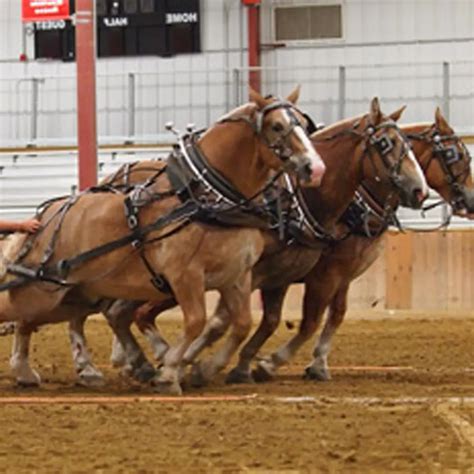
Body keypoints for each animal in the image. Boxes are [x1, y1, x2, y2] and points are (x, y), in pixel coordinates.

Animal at [0, 87, 326, 394]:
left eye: (303, 123)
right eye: (276, 126)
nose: (315, 168)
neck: (207, 197)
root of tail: (44, 217)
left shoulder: (237, 275)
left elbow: (241, 323)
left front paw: (203, 370)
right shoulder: (185, 275)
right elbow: (195, 320)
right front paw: (169, 372)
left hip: (71, 296)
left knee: (30, 322)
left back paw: (29, 372)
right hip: (41, 293)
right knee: (19, 315)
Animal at [101, 97, 430, 386]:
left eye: (409, 145)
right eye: (386, 143)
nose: (420, 190)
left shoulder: (293, 275)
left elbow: (279, 320)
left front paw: (246, 366)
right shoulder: (304, 274)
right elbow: (237, 322)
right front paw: (205, 365)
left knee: (124, 310)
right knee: (130, 311)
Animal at [246, 107, 474, 382]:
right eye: (454, 154)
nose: (472, 201)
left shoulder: (345, 273)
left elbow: (337, 313)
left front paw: (319, 363)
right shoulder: (326, 273)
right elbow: (312, 320)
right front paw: (271, 363)